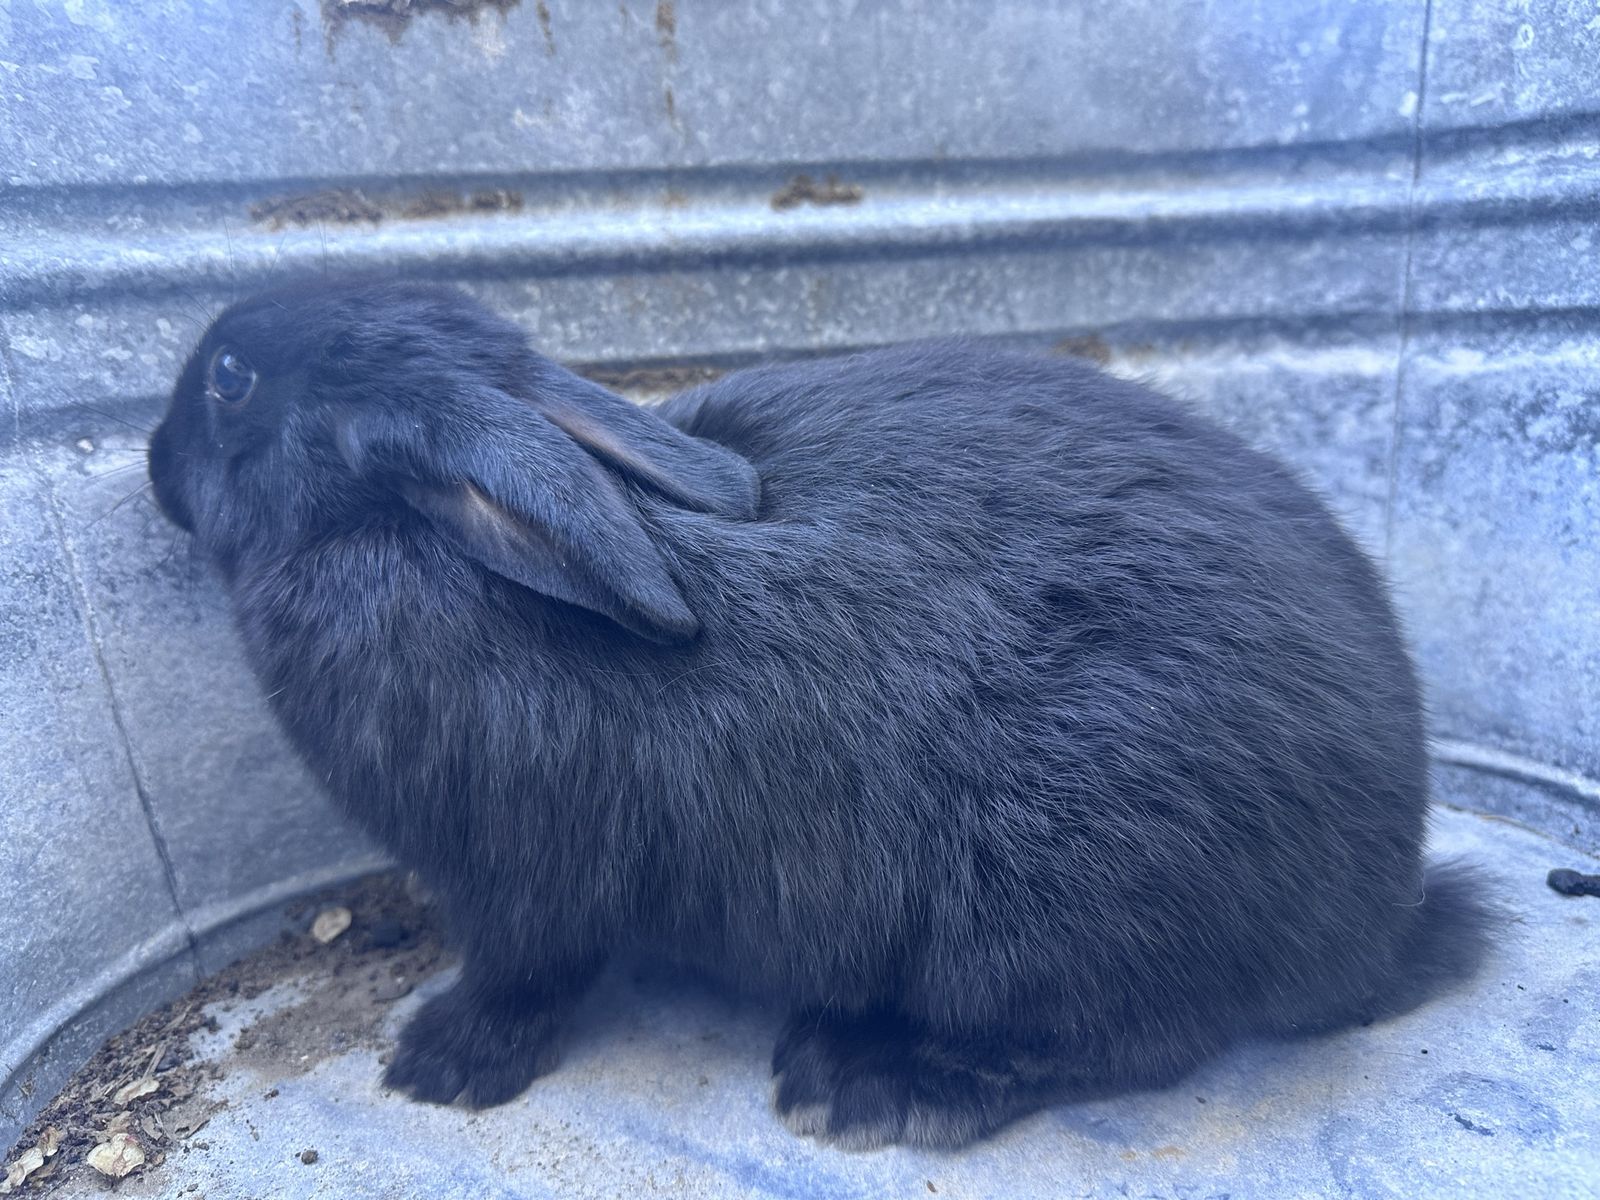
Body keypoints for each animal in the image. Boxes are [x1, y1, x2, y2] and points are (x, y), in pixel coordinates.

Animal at [148, 278, 1494, 1150]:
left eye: (229, 380)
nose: (153, 465)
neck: (422, 543)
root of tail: (1380, 922)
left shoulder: (515, 877)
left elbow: (527, 973)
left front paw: (440, 1064)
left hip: (1059, 914)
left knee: (1121, 1039)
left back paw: (867, 1079)